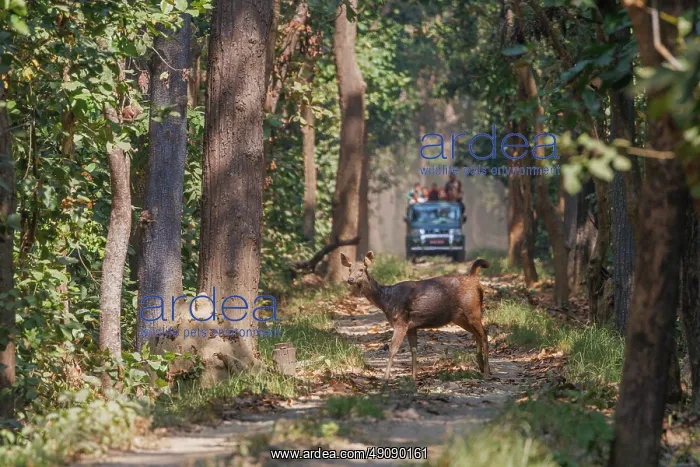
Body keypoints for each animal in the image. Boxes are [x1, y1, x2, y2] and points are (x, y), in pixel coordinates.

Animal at [340, 251, 491, 380]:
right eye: (349, 269)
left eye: (361, 269)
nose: (350, 279)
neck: (386, 300)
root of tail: (474, 278)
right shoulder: (411, 326)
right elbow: (413, 349)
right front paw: (413, 377)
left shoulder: (400, 321)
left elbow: (392, 349)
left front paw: (385, 378)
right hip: (460, 317)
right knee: (477, 334)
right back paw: (481, 366)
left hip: (473, 310)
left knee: (484, 334)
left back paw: (487, 372)